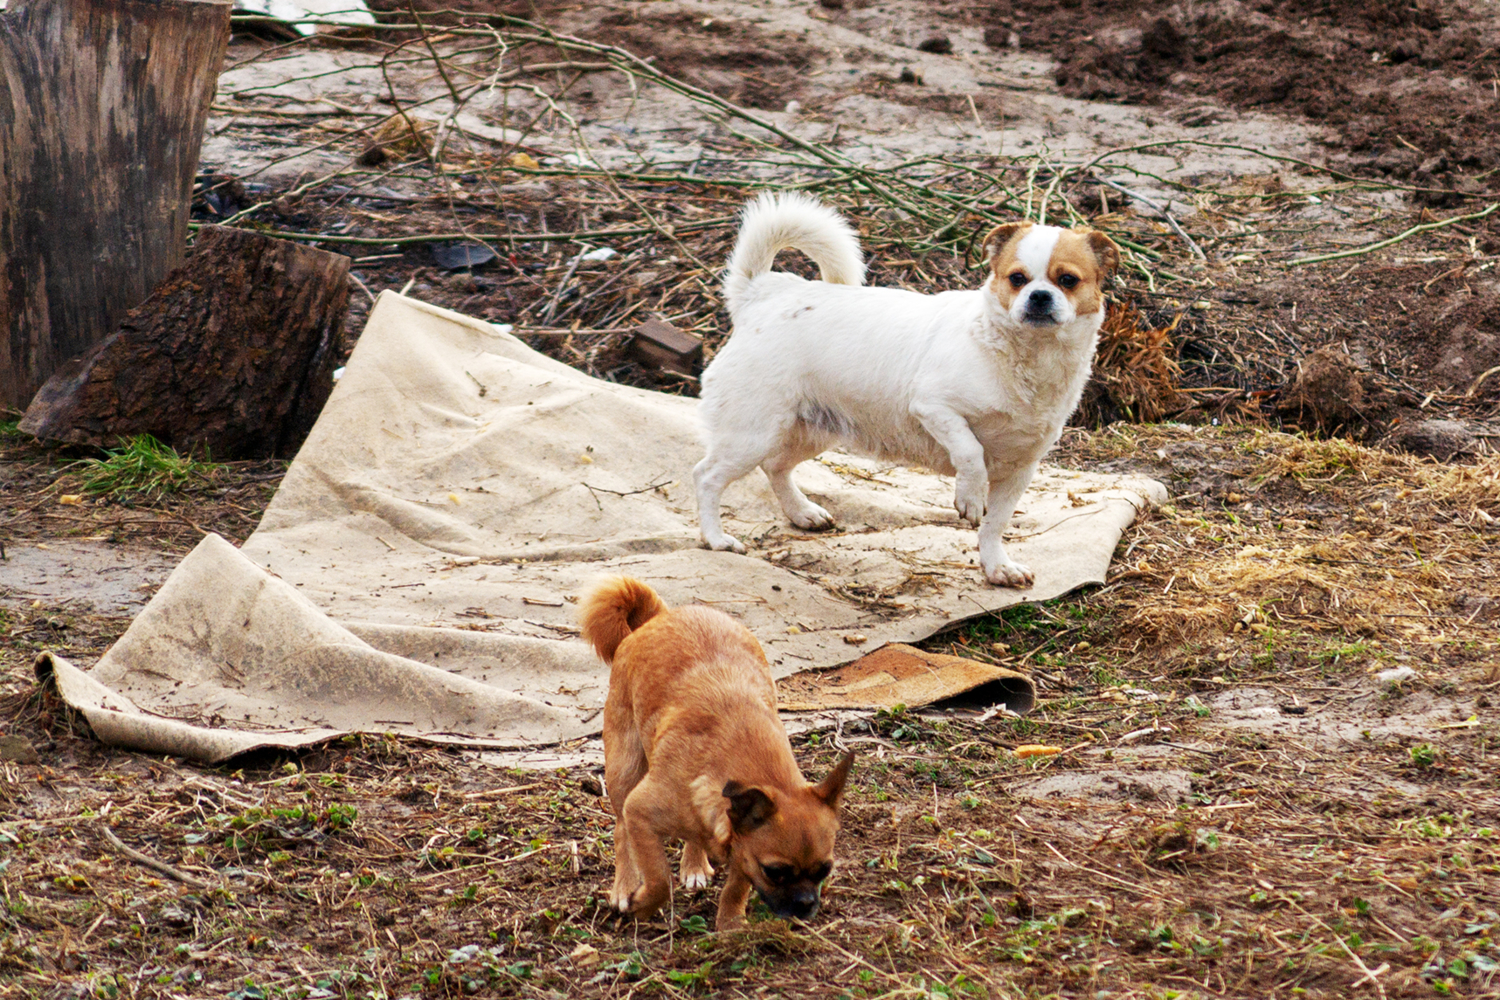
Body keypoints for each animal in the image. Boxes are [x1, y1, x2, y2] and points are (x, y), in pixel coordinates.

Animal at [576, 578, 852, 929]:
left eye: (824, 871)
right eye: (774, 872)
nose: (806, 905)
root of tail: (660, 616)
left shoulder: (742, 848)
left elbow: (735, 887)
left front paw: (730, 924)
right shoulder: (640, 812)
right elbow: (658, 876)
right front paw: (643, 903)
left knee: (691, 835)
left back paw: (694, 864)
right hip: (624, 770)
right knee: (621, 831)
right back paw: (625, 886)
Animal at [690, 193, 1116, 590]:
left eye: (1068, 280)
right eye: (1017, 278)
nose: (1039, 296)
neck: (1028, 360)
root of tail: (761, 293)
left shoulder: (1019, 472)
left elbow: (995, 525)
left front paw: (997, 567)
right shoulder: (933, 407)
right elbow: (971, 453)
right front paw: (969, 497)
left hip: (811, 430)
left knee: (775, 467)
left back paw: (802, 512)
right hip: (752, 435)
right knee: (706, 476)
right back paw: (717, 539)